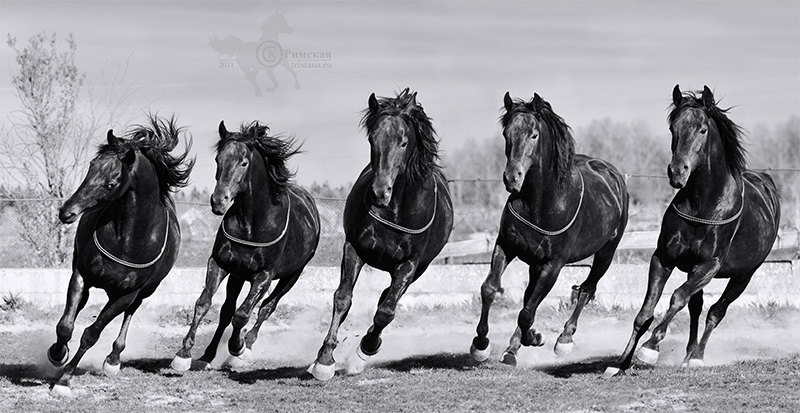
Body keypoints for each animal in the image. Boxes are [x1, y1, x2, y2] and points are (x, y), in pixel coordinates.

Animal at [50, 114, 194, 394]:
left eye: (111, 183)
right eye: (91, 166)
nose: (66, 212)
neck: (127, 239)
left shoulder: (127, 294)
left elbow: (91, 334)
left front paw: (64, 379)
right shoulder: (81, 275)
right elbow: (65, 325)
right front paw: (57, 354)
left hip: (142, 292)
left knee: (130, 313)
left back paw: (113, 359)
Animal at [172, 120, 318, 368]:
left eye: (244, 162)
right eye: (218, 159)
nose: (218, 201)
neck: (252, 226)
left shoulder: (264, 275)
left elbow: (242, 314)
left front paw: (237, 346)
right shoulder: (221, 264)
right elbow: (204, 303)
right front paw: (183, 354)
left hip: (292, 276)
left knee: (267, 307)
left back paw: (247, 345)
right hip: (238, 275)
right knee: (226, 312)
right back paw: (208, 355)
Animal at [310, 88, 454, 378]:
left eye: (403, 142)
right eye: (372, 139)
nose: (380, 192)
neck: (395, 211)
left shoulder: (409, 264)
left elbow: (386, 311)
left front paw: (367, 346)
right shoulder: (353, 248)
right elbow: (343, 298)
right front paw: (324, 359)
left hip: (418, 269)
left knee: (388, 299)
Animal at [468, 92, 632, 364]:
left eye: (534, 134)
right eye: (506, 133)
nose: (512, 178)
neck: (541, 205)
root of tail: (613, 175)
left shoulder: (553, 265)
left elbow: (527, 311)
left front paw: (535, 337)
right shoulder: (506, 246)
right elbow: (491, 289)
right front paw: (481, 345)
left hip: (605, 253)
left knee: (586, 290)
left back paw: (564, 339)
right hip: (535, 263)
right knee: (530, 297)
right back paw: (512, 348)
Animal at [604, 87, 780, 376]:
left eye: (702, 130)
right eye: (672, 128)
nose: (677, 172)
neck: (703, 207)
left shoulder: (709, 265)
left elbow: (677, 298)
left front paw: (650, 348)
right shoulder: (664, 259)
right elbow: (645, 314)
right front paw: (620, 364)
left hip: (743, 276)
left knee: (716, 311)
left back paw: (697, 356)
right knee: (697, 307)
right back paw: (687, 354)